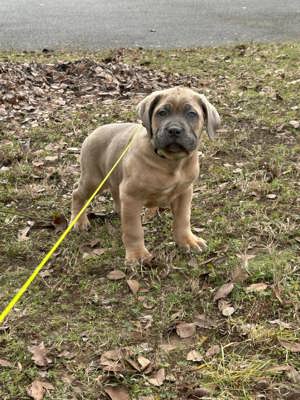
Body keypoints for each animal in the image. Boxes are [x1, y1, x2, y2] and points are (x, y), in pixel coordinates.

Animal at [70, 87, 220, 262]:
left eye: (191, 114)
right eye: (162, 113)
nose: (174, 130)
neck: (170, 161)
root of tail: (95, 131)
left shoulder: (184, 192)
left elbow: (183, 219)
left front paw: (187, 240)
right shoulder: (131, 195)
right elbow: (134, 230)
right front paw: (137, 254)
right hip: (94, 179)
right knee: (77, 193)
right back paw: (79, 222)